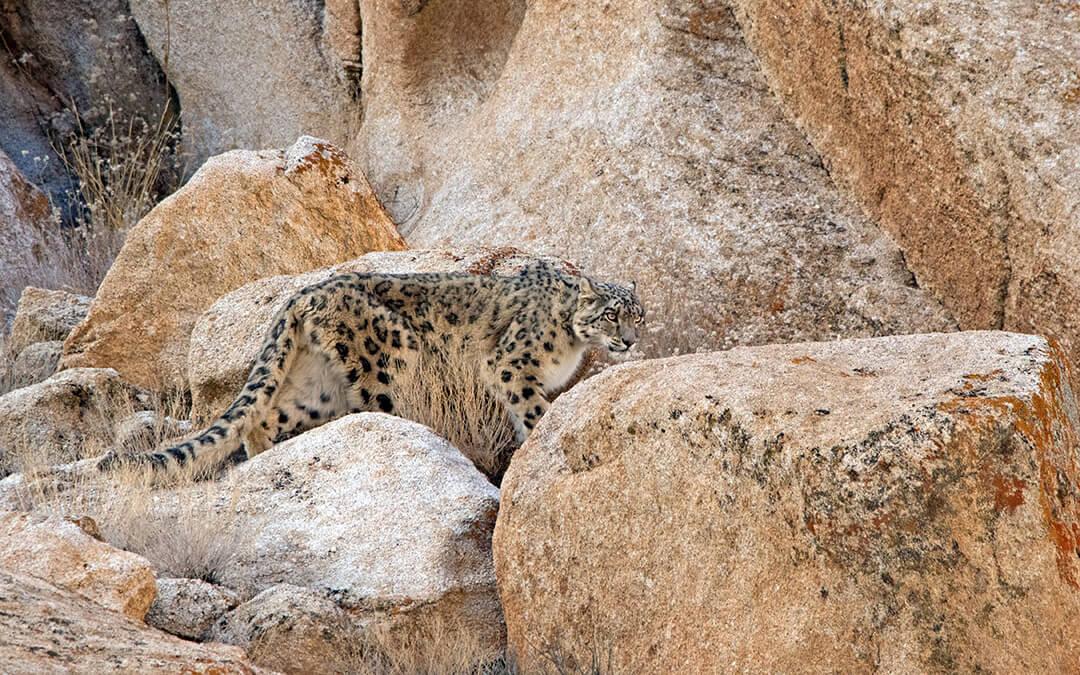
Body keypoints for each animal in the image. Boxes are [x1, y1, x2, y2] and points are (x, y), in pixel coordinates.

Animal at [99, 262, 644, 478]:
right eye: (611, 315)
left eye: (638, 315)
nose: (630, 340)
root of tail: (302, 294)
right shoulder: (511, 365)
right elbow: (533, 410)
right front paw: (539, 438)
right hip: (386, 361)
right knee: (373, 406)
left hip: (315, 386)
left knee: (264, 417)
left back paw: (264, 459)